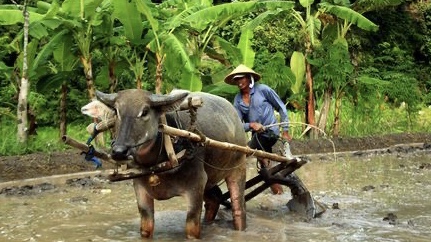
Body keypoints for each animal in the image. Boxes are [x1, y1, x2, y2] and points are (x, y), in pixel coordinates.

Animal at [96, 90, 248, 239]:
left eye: (144, 112)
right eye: (116, 111)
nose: (119, 151)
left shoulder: (196, 185)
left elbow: (192, 228)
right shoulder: (140, 187)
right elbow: (146, 227)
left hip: (238, 168)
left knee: (238, 207)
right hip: (210, 179)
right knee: (215, 199)